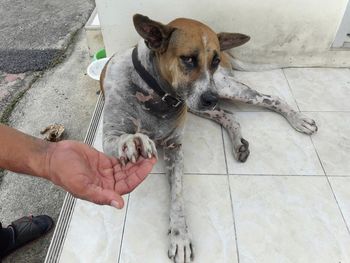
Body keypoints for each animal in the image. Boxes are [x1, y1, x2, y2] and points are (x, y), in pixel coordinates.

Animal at [100, 13, 318, 263]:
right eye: (187, 59)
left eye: (213, 61)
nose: (211, 98)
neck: (155, 94)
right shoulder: (110, 135)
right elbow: (121, 139)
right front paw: (132, 141)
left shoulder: (175, 147)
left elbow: (177, 197)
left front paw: (180, 237)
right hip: (202, 105)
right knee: (229, 115)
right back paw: (238, 142)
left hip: (224, 88)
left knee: (271, 98)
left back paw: (298, 119)